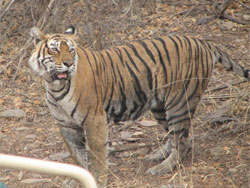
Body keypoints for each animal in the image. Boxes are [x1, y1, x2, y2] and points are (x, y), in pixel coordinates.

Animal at [28, 25, 249, 187]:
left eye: (71, 50)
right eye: (55, 49)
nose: (67, 63)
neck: (54, 86)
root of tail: (202, 42)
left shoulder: (94, 120)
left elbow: (97, 156)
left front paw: (97, 180)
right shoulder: (66, 125)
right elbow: (78, 156)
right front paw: (78, 178)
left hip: (179, 102)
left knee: (184, 140)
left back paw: (163, 167)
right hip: (160, 106)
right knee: (174, 135)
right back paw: (157, 156)